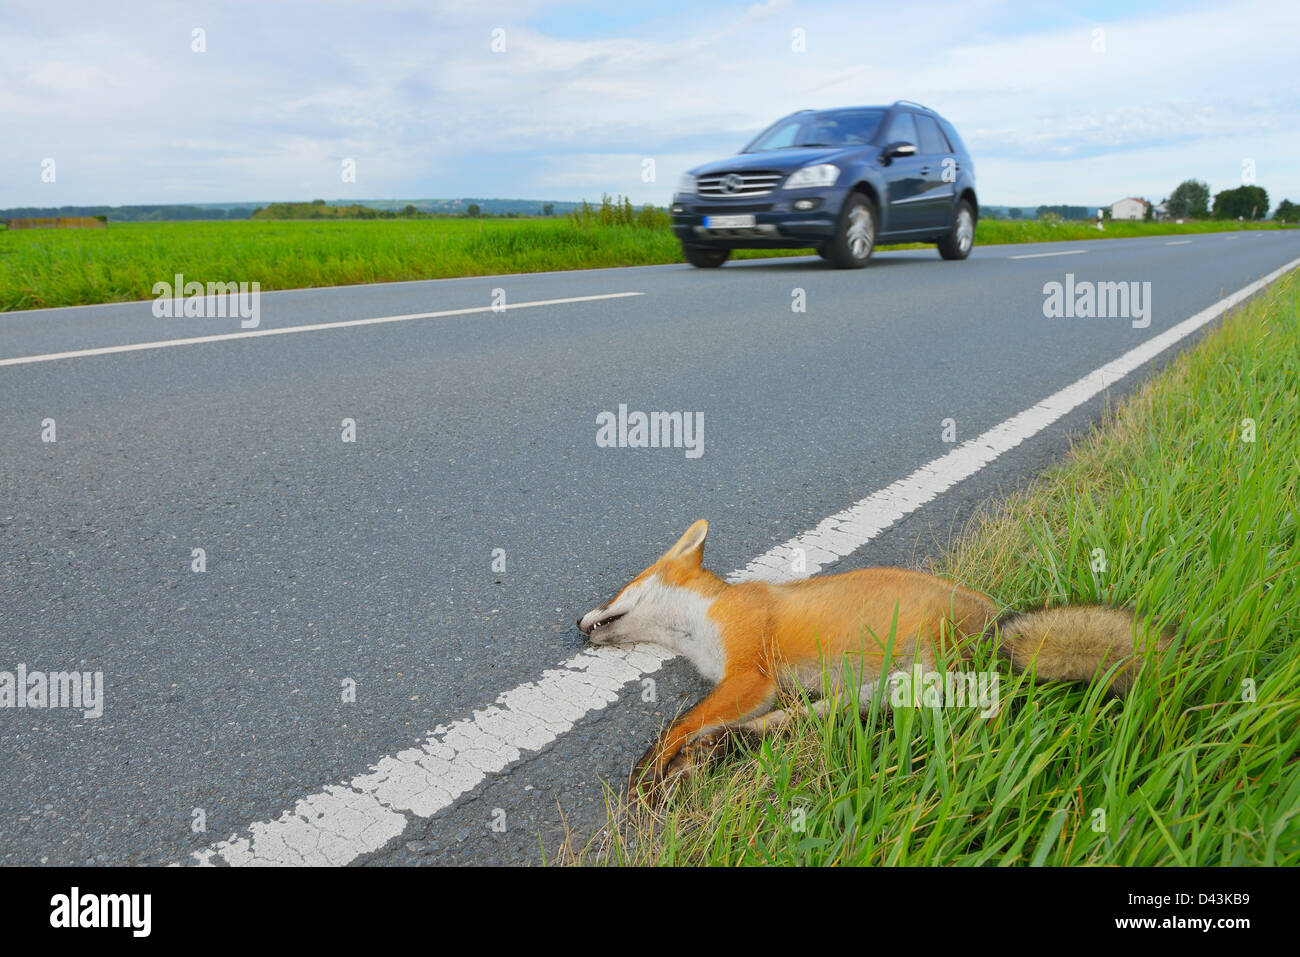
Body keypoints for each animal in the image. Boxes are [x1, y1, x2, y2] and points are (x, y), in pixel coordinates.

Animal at [577, 520, 1170, 795]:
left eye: (619, 589)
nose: (580, 627)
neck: (701, 623)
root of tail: (995, 625)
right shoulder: (751, 686)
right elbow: (691, 723)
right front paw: (667, 767)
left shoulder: (749, 674)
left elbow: (676, 725)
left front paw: (648, 773)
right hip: (873, 692)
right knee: (798, 722)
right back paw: (721, 750)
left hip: (923, 674)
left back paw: (709, 753)